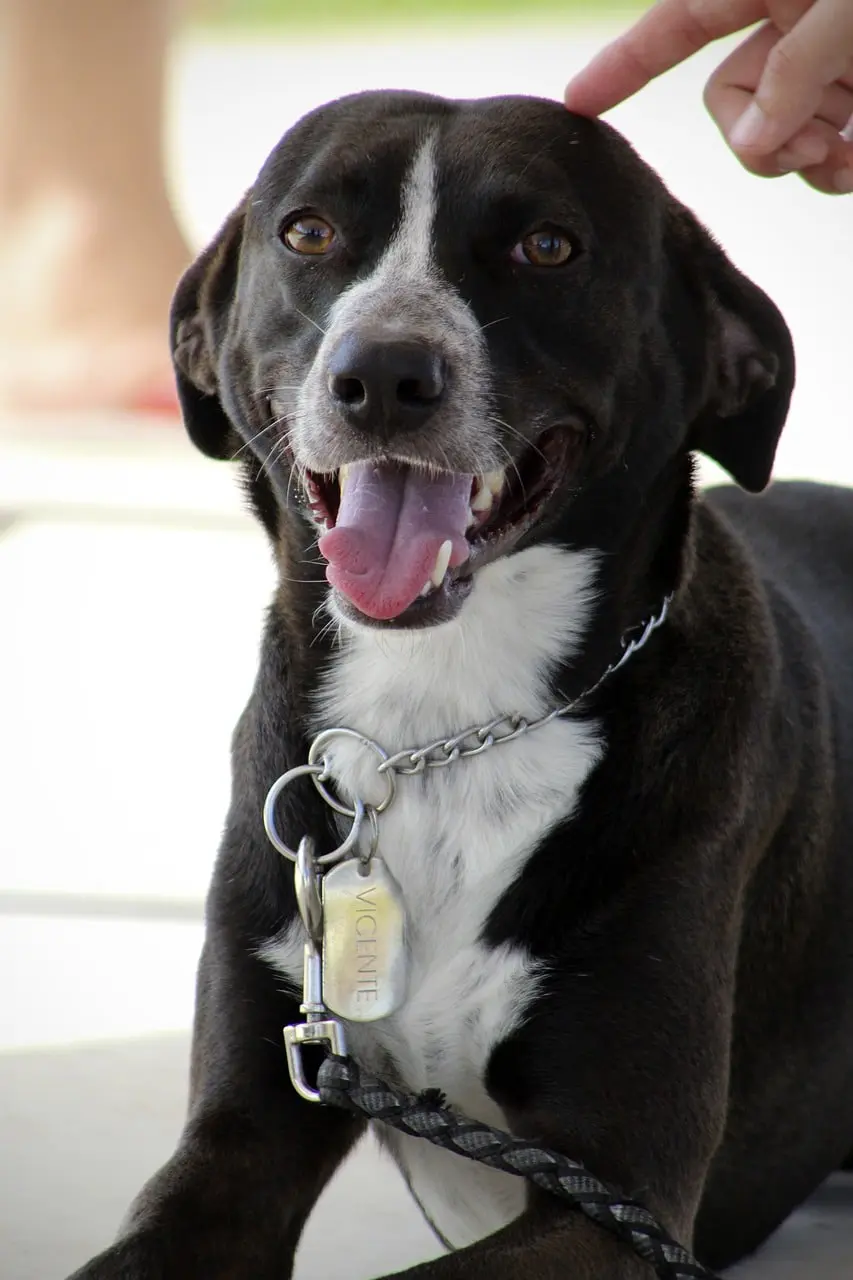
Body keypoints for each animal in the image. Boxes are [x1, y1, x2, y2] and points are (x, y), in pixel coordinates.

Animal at [69, 92, 850, 1280]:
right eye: (306, 233)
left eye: (548, 247)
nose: (383, 375)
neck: (442, 718)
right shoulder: (244, 1125)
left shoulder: (612, 1206)